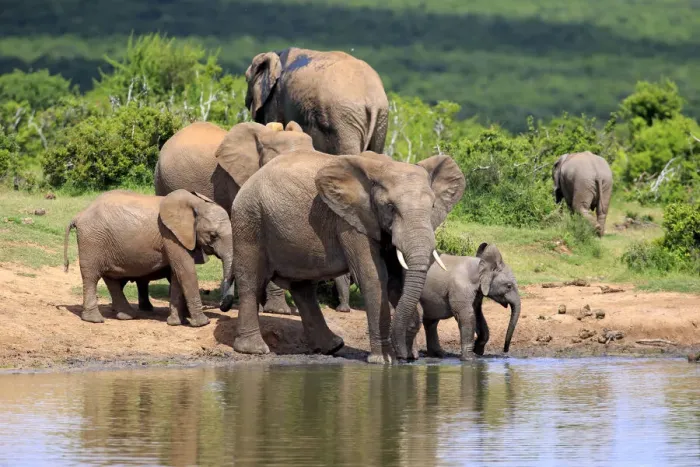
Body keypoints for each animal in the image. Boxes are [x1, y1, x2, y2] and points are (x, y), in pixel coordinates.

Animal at [63, 189, 235, 326]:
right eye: (213, 235)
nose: (221, 305)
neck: (197, 204)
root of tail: (79, 215)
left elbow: (177, 273)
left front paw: (176, 322)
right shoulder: (170, 234)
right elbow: (185, 271)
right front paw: (202, 323)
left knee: (110, 278)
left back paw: (127, 316)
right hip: (92, 240)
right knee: (92, 276)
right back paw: (95, 319)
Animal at [223, 147, 466, 363]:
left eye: (432, 206)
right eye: (390, 207)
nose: (405, 355)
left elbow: (398, 280)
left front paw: (408, 355)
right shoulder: (351, 220)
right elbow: (374, 277)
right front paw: (384, 361)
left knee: (303, 288)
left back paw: (332, 347)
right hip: (249, 219)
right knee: (251, 281)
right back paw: (254, 350)